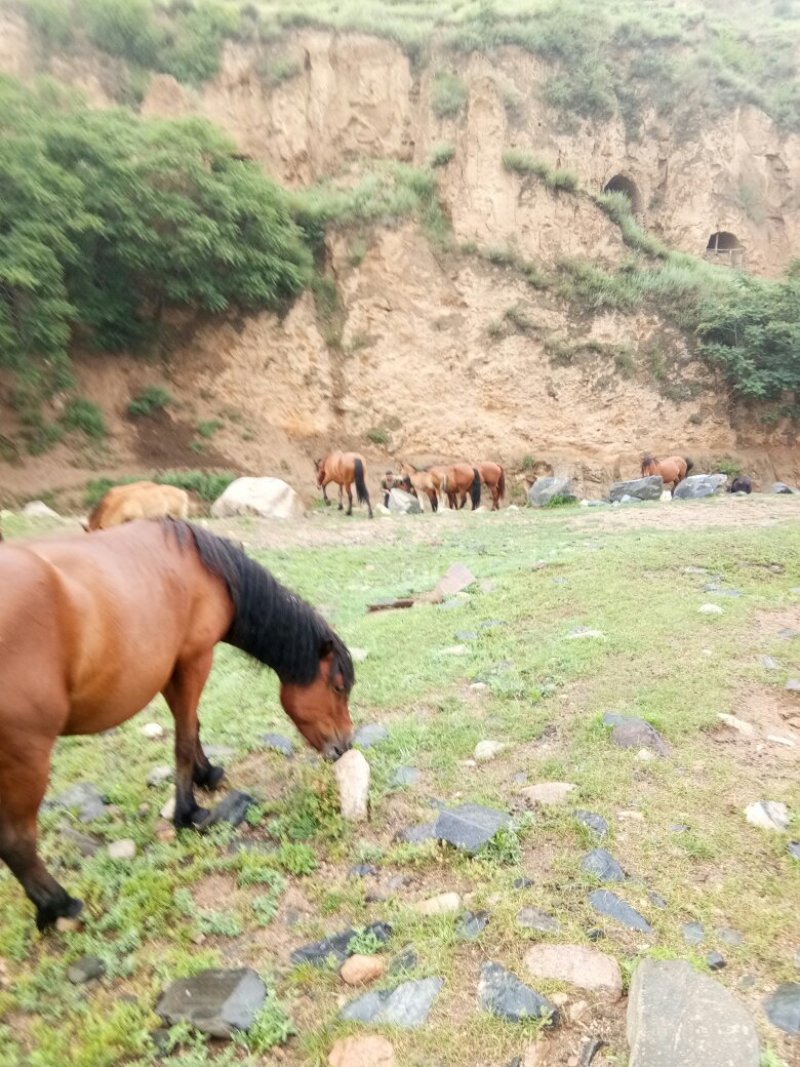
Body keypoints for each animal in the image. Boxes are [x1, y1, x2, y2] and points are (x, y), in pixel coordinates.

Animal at [0, 519, 354, 930]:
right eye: (338, 686)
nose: (345, 745)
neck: (208, 570)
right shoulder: (193, 659)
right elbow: (184, 737)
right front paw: (189, 811)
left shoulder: (174, 668)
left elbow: (193, 725)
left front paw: (207, 773)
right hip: (27, 755)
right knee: (16, 841)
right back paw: (59, 904)